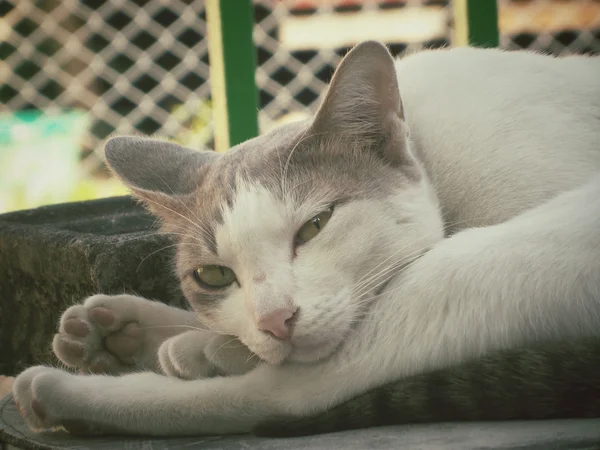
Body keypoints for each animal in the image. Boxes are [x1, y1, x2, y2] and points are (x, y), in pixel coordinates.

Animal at [10, 41, 600, 436]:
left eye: (315, 227)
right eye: (214, 275)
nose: (275, 320)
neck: (431, 152)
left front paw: (194, 348)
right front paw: (150, 335)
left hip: (496, 261)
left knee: (286, 395)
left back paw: (72, 386)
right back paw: (119, 333)